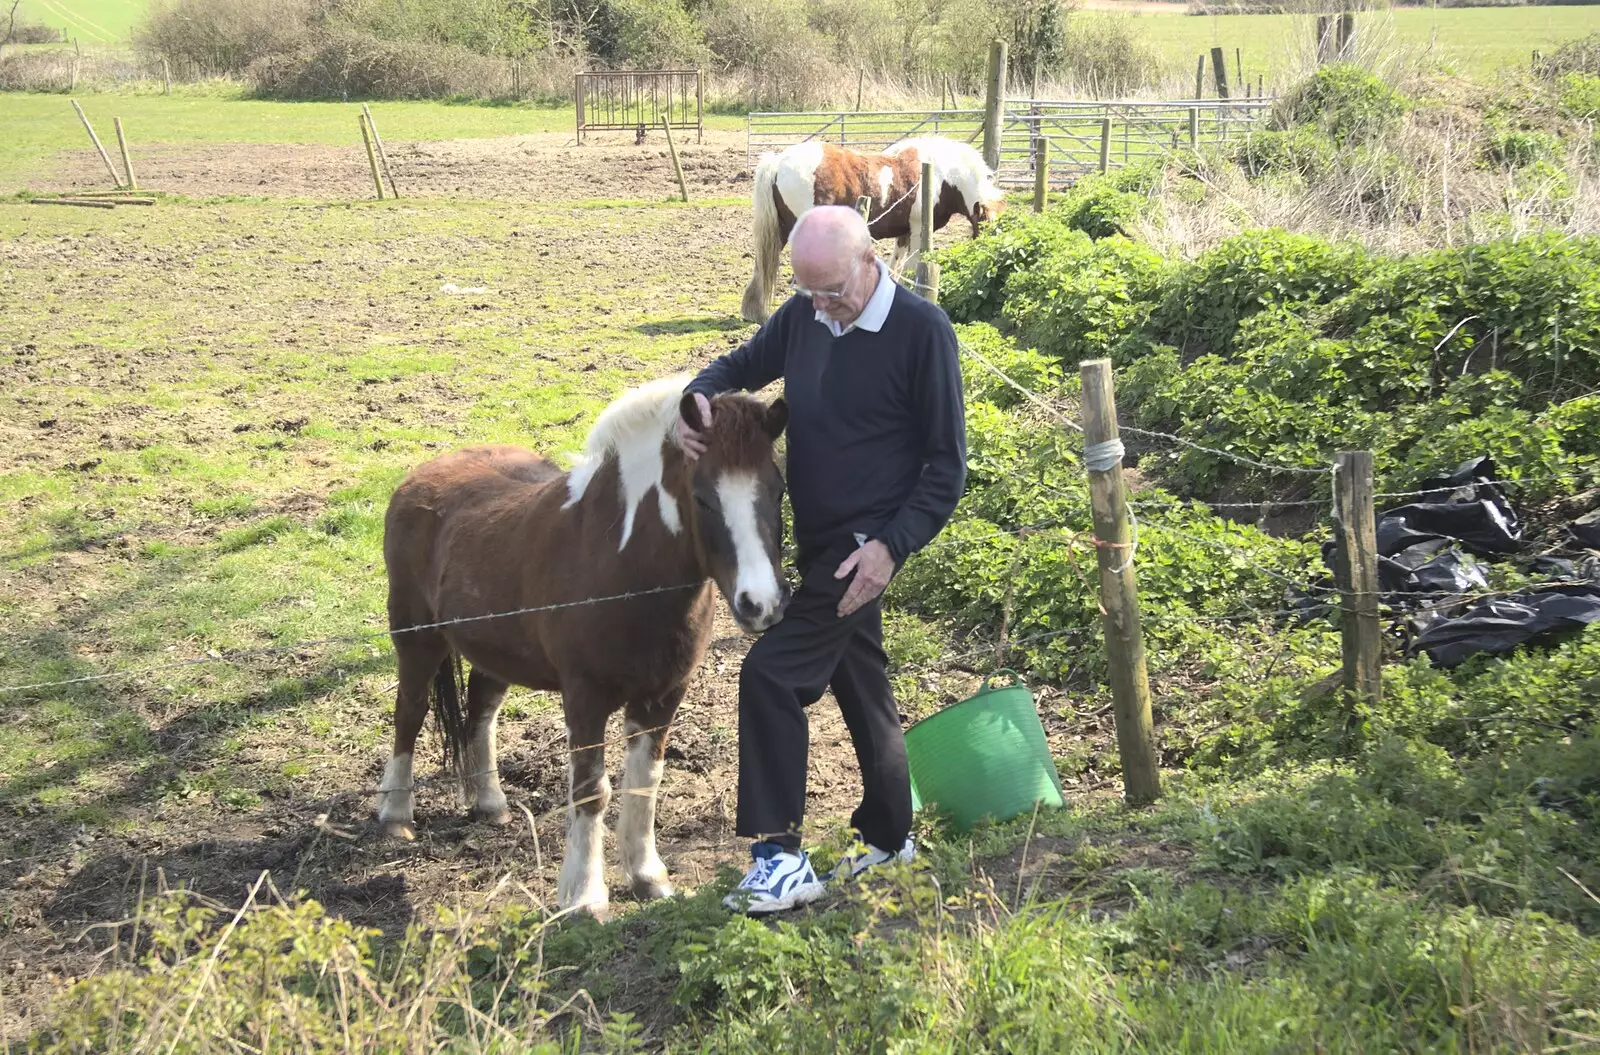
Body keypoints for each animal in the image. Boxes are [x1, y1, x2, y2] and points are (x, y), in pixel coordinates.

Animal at [382, 379, 793, 915]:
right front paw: (584, 896)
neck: (621, 565)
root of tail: (418, 478)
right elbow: (590, 789)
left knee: (481, 712)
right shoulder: (585, 697)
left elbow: (645, 781)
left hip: (495, 651)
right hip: (416, 638)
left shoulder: (663, 695)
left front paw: (648, 877)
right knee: (408, 713)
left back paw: (490, 804)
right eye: (703, 498)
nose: (761, 604)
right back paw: (395, 815)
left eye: (778, 489)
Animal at [742, 136, 1004, 326]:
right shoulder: (918, 230)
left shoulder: (904, 234)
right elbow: (913, 266)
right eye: (987, 229)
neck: (942, 175)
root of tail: (778, 162)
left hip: (780, 231)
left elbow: (896, 267)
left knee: (760, 266)